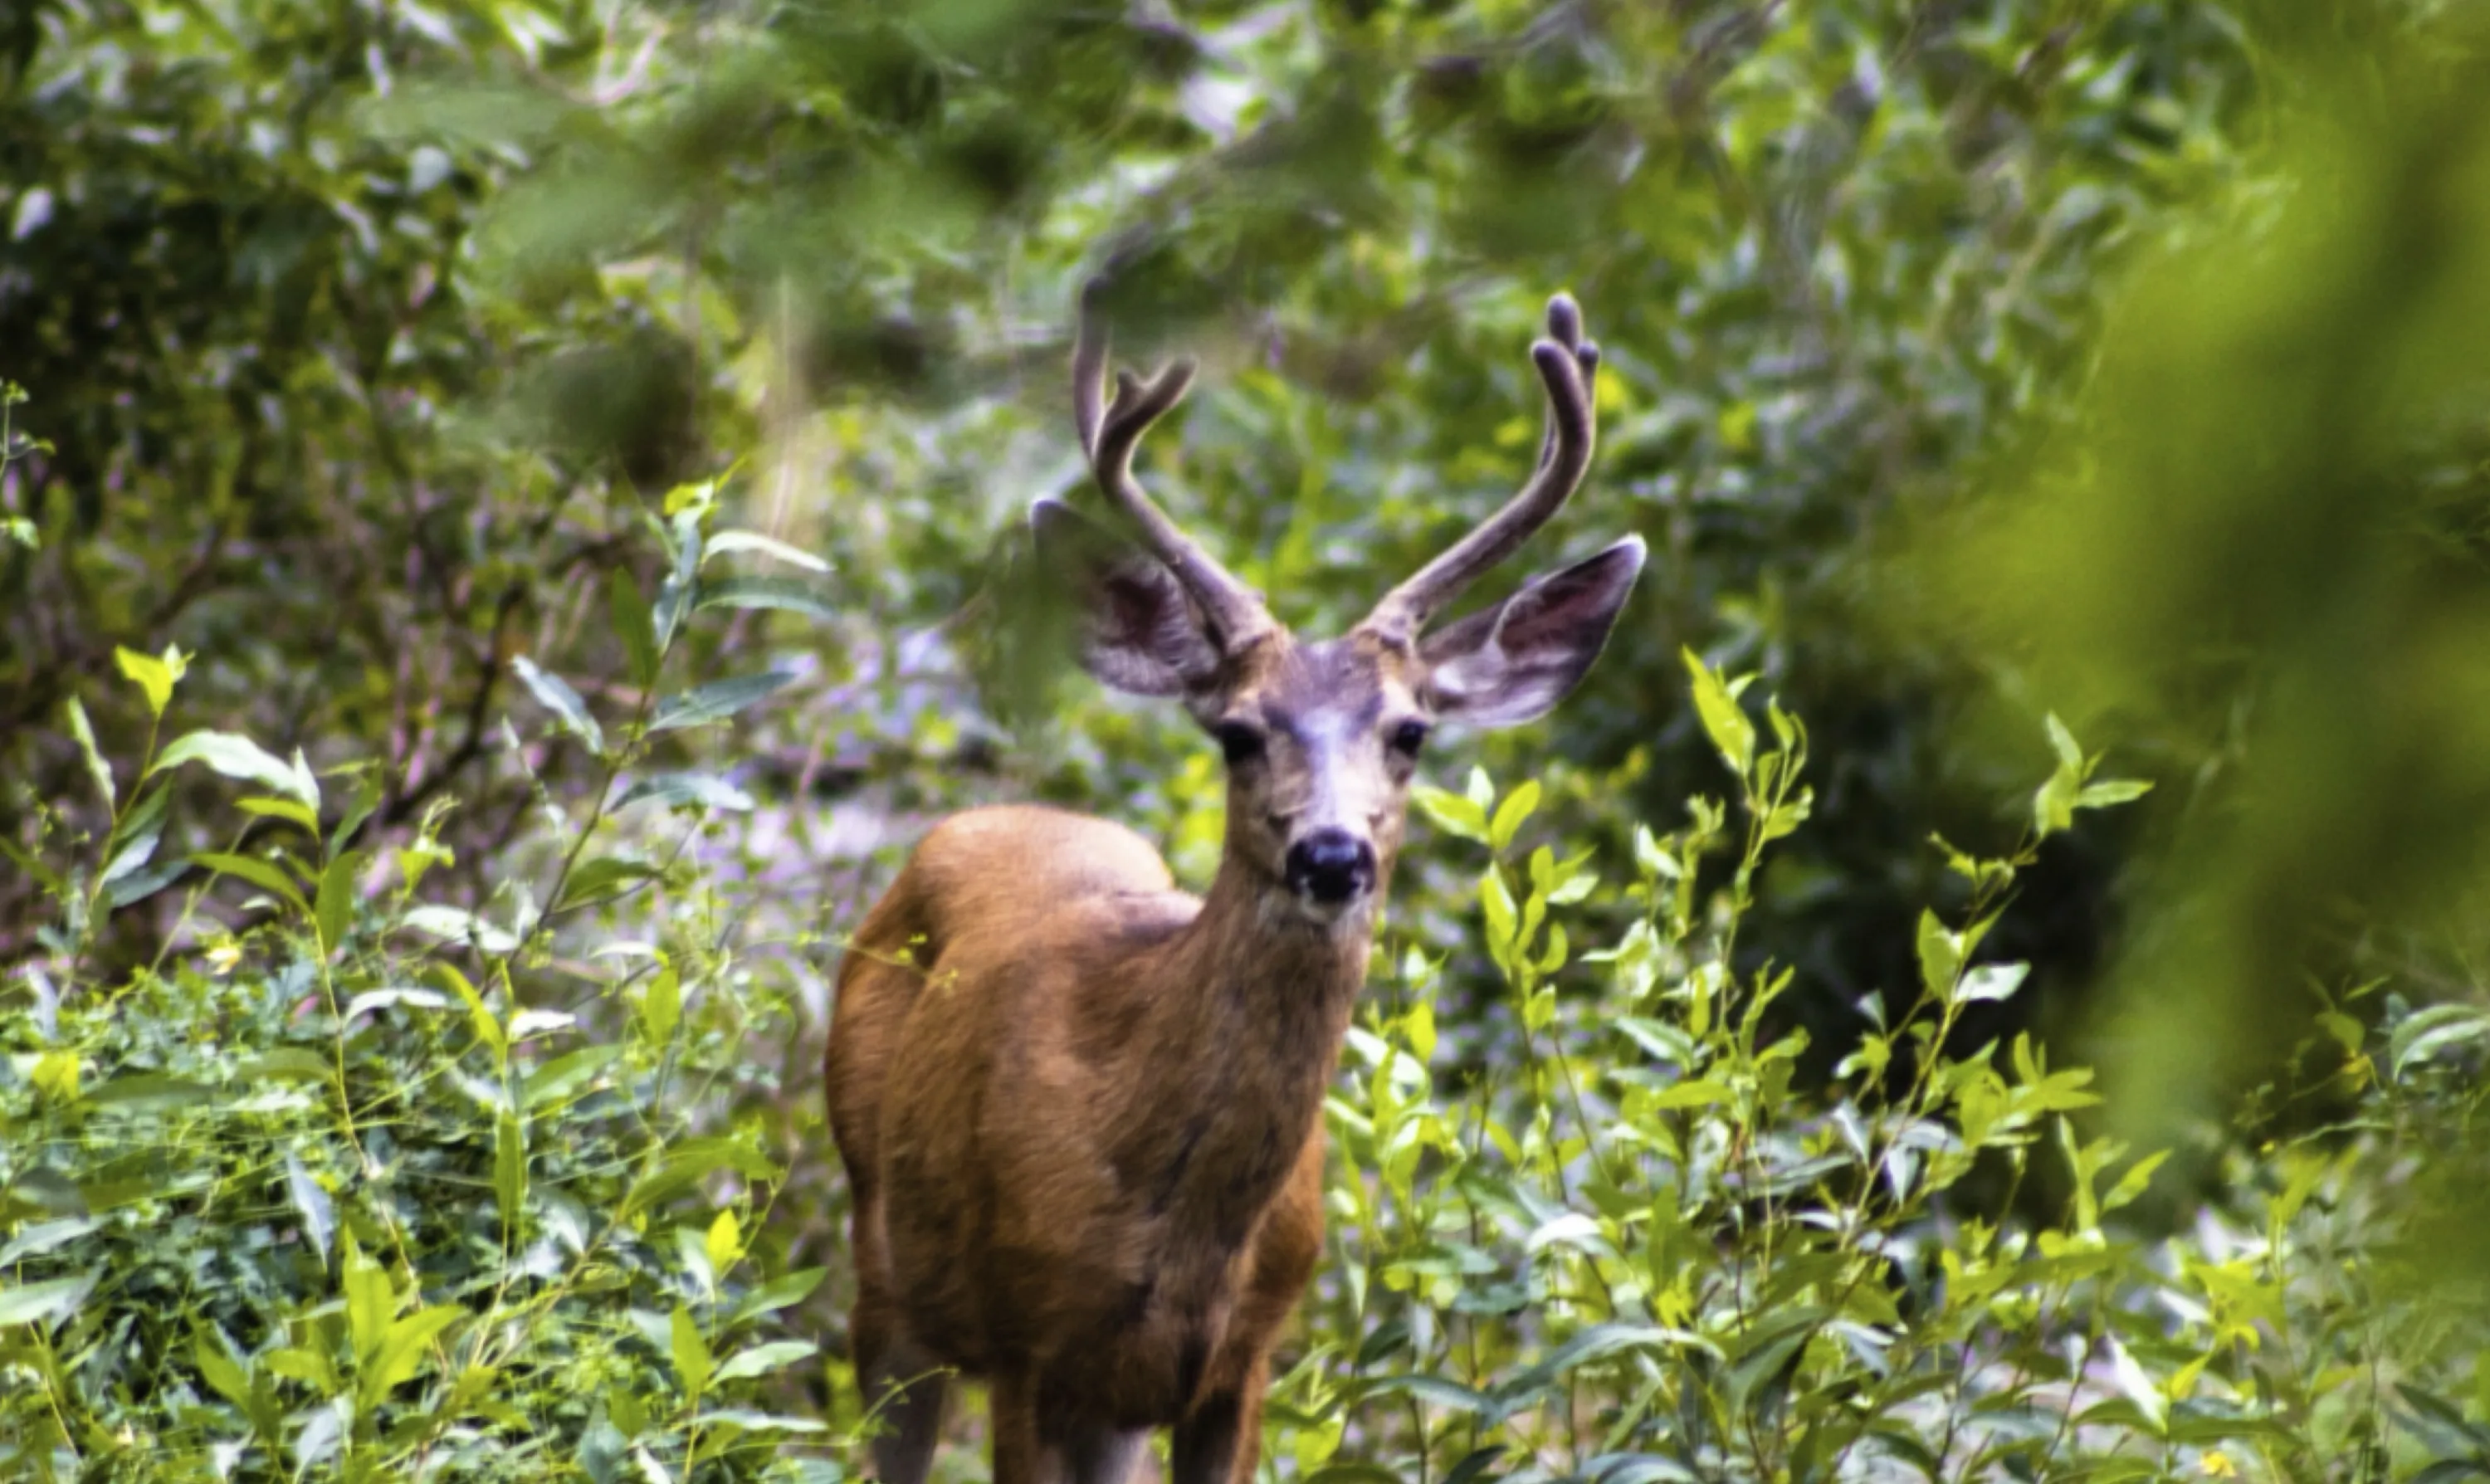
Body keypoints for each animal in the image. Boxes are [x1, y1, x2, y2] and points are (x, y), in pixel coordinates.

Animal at [823, 283, 1643, 1484]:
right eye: (1238, 732)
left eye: (1410, 731)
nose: (1333, 856)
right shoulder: (1024, 1342)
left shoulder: (1243, 1356)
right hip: (884, 1275)